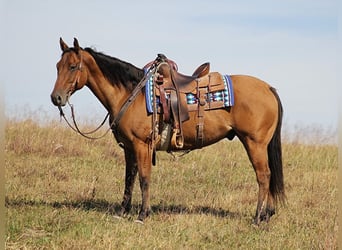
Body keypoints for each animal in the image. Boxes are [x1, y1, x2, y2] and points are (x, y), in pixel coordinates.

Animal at [50, 37, 284, 225]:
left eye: (73, 66)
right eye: (57, 66)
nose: (56, 98)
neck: (130, 93)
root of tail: (268, 88)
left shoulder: (142, 145)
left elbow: (144, 178)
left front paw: (142, 215)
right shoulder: (129, 148)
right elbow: (129, 179)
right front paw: (123, 211)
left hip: (254, 143)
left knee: (264, 176)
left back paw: (257, 218)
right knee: (270, 176)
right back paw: (267, 214)